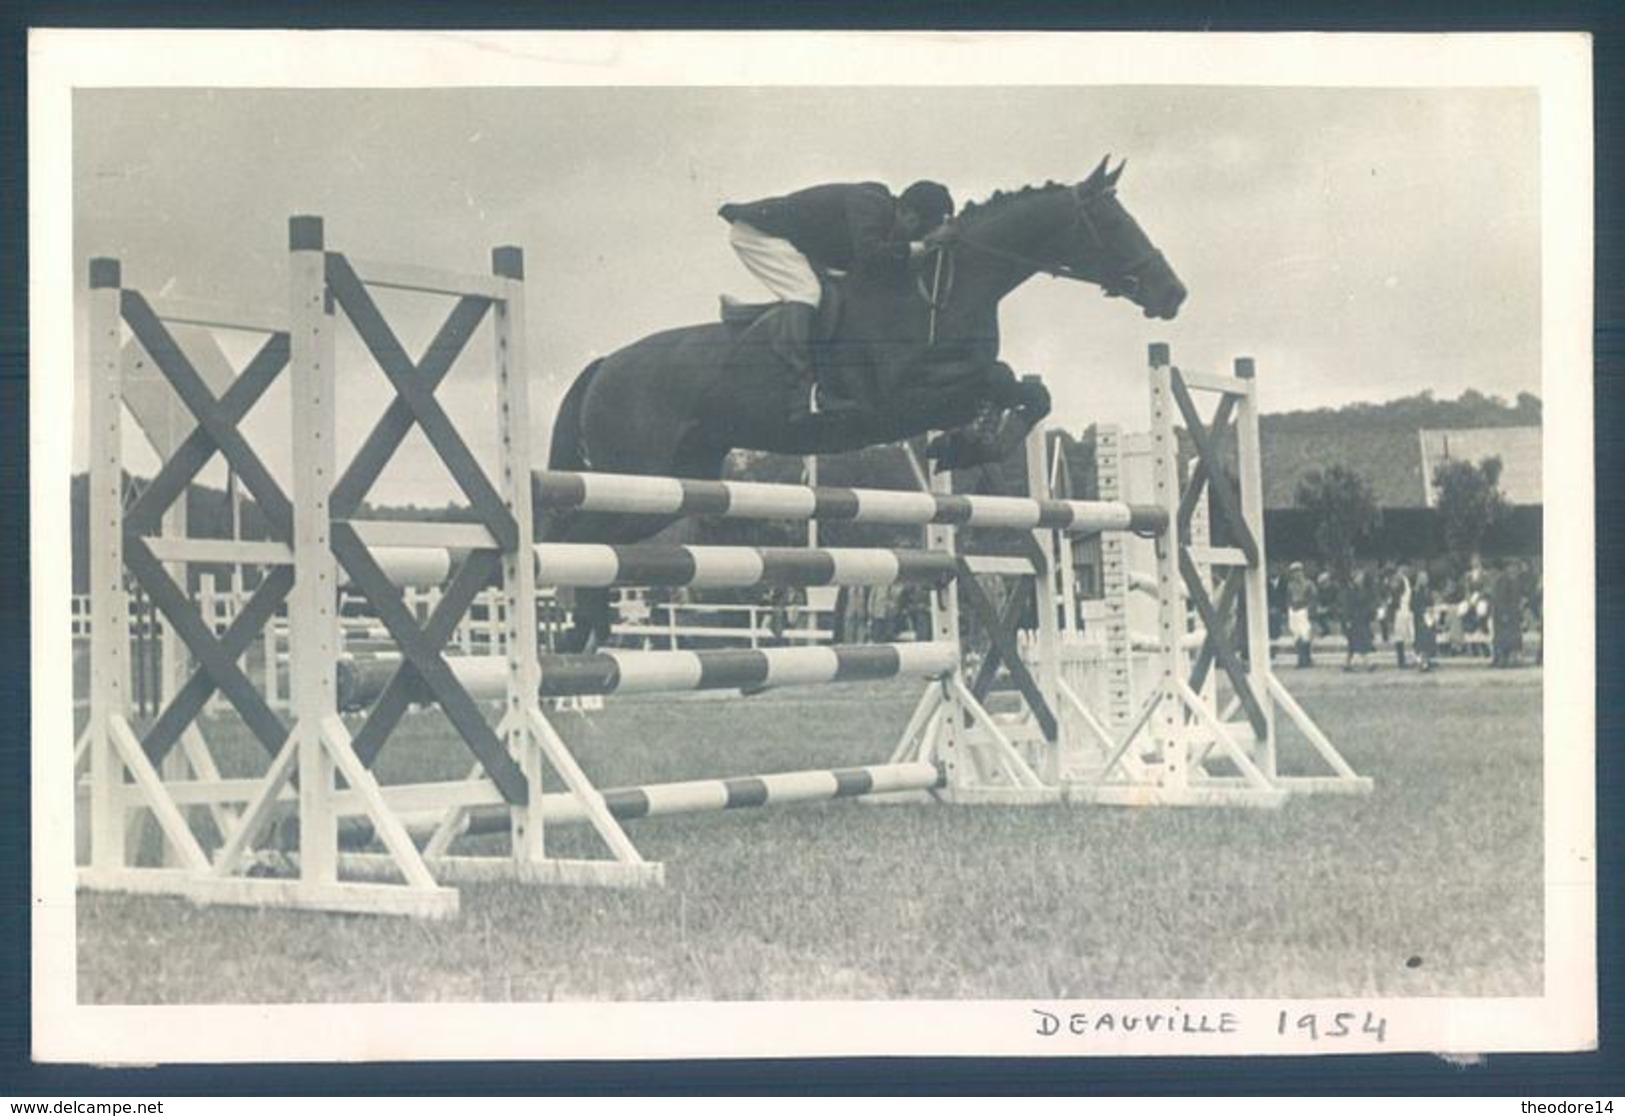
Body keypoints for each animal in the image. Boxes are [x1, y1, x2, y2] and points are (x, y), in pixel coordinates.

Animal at [539, 157, 1189, 646]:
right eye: (1113, 223)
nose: (1173, 294)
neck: (941, 287)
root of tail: (606, 363)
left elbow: (1028, 391)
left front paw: (973, 442)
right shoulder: (903, 399)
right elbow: (997, 380)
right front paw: (974, 439)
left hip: (671, 483)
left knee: (591, 536)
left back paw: (584, 633)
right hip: (636, 475)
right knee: (575, 535)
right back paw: (577, 634)